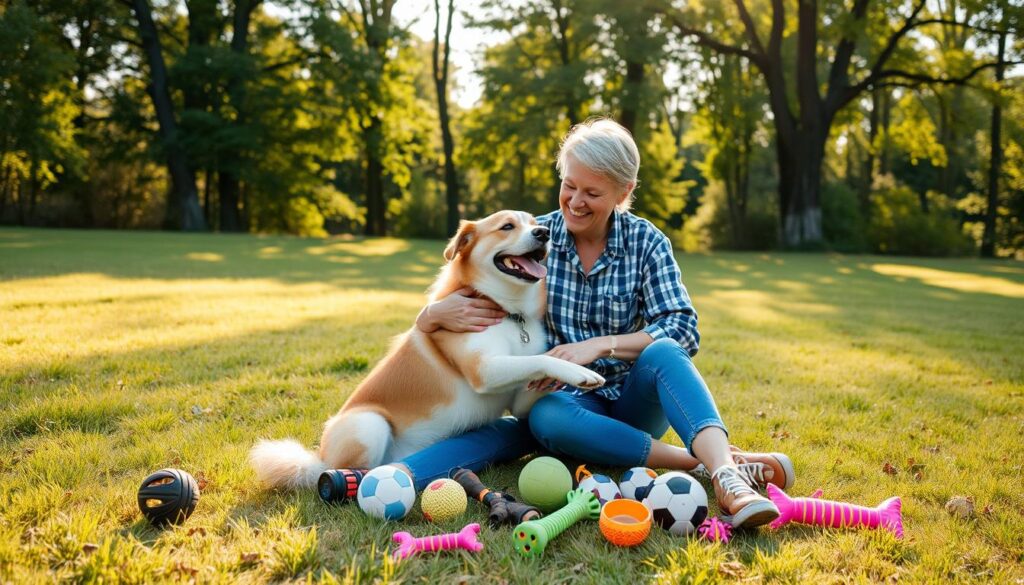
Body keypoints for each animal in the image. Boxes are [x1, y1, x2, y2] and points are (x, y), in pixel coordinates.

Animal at [251, 212, 602, 489]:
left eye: (535, 223)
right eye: (507, 226)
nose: (544, 233)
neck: (510, 313)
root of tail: (318, 460)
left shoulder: (518, 400)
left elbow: (536, 367)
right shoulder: (483, 370)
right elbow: (540, 358)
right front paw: (580, 370)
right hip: (369, 424)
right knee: (361, 469)